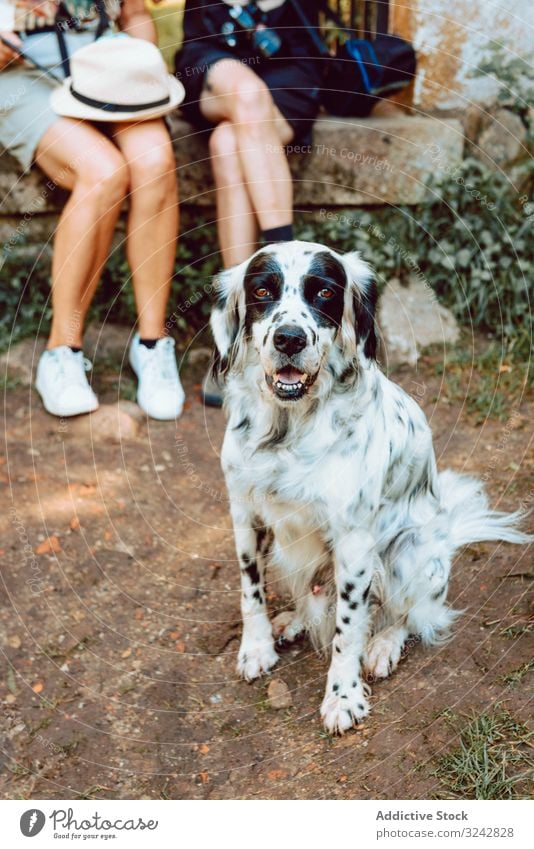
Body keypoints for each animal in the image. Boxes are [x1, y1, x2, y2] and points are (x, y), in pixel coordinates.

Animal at [211, 242, 528, 732]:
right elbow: (250, 591)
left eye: (323, 292)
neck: (288, 429)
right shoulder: (246, 514)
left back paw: (382, 647)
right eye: (262, 290)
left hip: (410, 553)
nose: (289, 339)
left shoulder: (355, 541)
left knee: (410, 616)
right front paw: (256, 647)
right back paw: (293, 620)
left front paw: (343, 697)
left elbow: (348, 628)